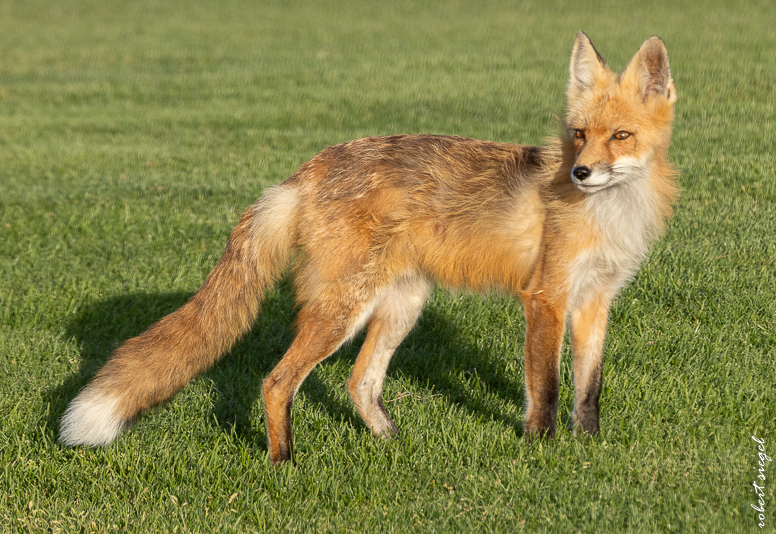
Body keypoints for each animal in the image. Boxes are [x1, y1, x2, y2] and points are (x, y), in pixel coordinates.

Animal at [60, 32, 678, 464]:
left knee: (360, 382)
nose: (579, 172)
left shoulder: (595, 301)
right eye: (578, 134)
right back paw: (283, 461)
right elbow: (545, 389)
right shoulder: (545, 298)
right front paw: (541, 452)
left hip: (402, 305)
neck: (606, 216)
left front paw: (588, 448)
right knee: (277, 381)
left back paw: (390, 442)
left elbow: (588, 388)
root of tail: (306, 170)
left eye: (620, 136)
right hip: (343, 309)